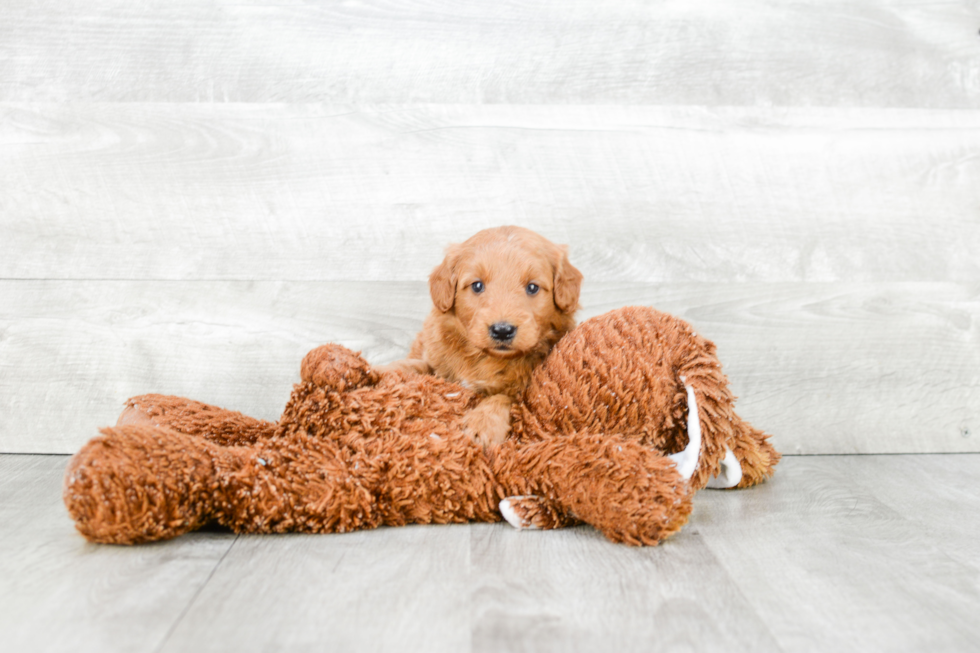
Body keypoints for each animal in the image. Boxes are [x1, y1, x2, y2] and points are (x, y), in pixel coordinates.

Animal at [378, 225, 580, 448]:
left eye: (533, 287)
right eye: (477, 286)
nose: (502, 330)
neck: (484, 357)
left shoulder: (523, 391)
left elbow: (502, 397)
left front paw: (483, 426)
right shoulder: (439, 365)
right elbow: (417, 366)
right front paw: (382, 370)